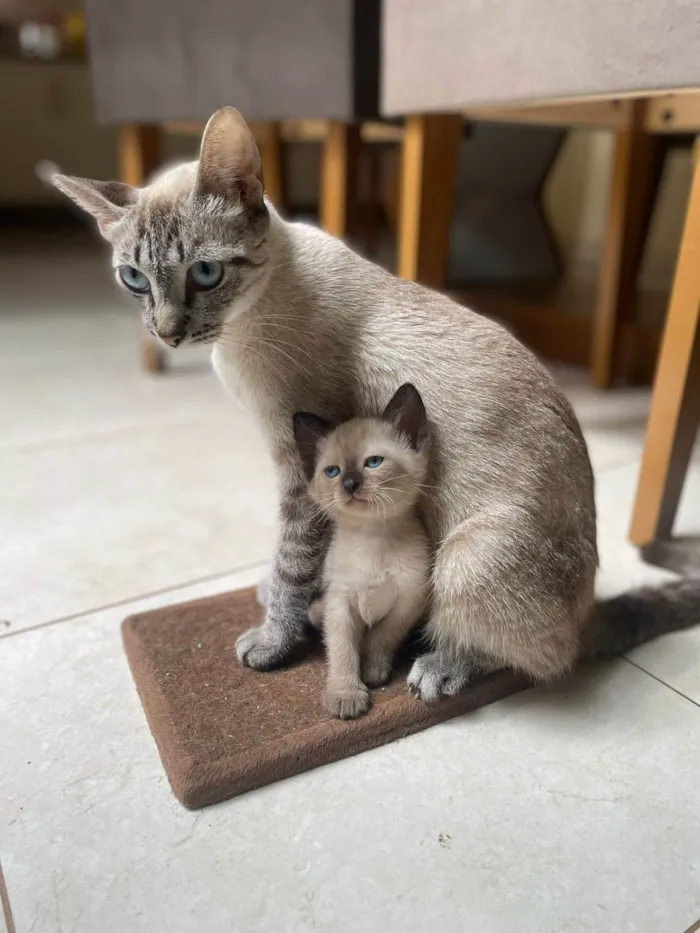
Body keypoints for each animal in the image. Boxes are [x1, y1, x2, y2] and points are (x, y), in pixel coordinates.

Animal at [292, 382, 432, 716]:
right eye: (332, 471)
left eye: (374, 462)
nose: (350, 484)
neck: (373, 536)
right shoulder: (339, 603)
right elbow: (343, 651)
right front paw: (345, 696)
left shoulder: (408, 602)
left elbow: (380, 639)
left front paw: (373, 672)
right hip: (319, 606)